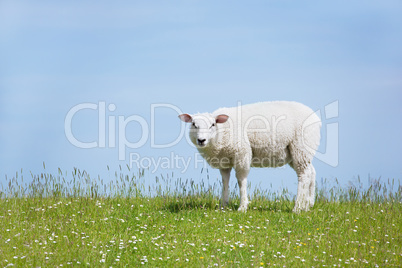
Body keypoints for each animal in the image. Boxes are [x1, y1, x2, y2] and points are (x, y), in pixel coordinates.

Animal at [179, 101, 320, 213]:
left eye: (213, 124)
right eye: (193, 124)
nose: (201, 140)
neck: (223, 131)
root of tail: (316, 117)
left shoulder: (242, 153)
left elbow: (241, 181)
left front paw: (242, 207)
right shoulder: (224, 161)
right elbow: (225, 182)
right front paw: (223, 206)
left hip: (300, 147)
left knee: (304, 175)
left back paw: (297, 207)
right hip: (298, 153)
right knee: (311, 172)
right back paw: (308, 204)